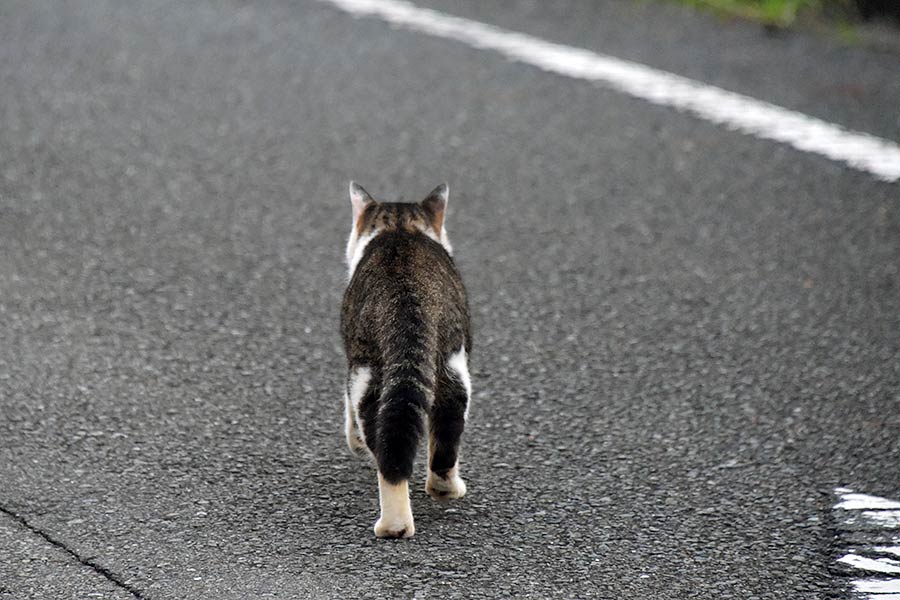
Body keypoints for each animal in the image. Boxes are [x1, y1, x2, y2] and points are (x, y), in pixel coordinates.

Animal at [342, 183, 474, 540]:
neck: (400, 227)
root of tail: (407, 299)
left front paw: (355, 445)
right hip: (452, 368)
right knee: (441, 431)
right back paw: (438, 493)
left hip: (369, 371)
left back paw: (395, 523)